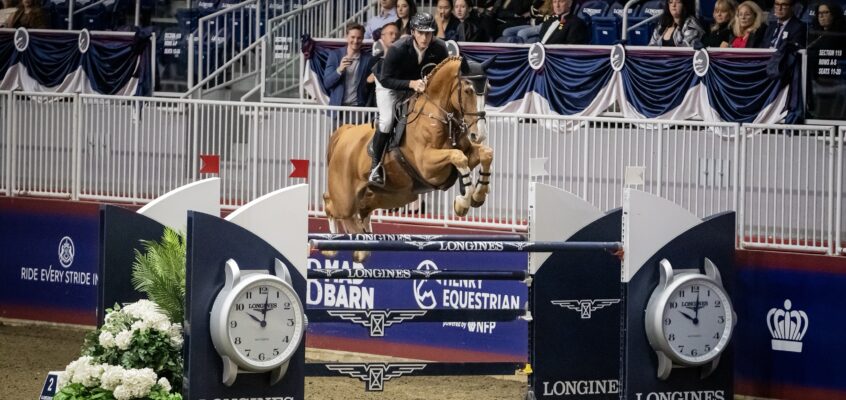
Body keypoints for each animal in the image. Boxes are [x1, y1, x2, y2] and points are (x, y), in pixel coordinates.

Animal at [324, 54, 496, 233]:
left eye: (489, 90)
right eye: (468, 91)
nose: (479, 134)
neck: (438, 115)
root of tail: (343, 133)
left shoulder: (465, 152)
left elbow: (486, 153)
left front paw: (478, 195)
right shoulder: (427, 165)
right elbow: (458, 156)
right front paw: (462, 203)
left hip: (391, 196)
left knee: (362, 211)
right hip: (345, 199)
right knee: (329, 204)